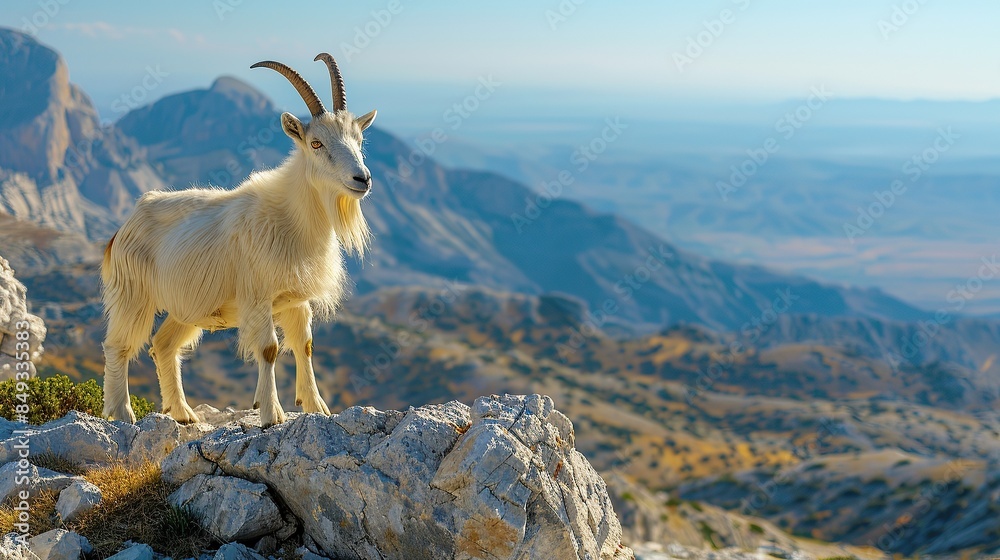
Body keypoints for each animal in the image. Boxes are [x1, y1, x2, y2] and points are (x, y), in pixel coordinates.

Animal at [101, 53, 377, 427]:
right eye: (316, 143)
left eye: (359, 140)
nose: (362, 179)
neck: (292, 219)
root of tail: (128, 222)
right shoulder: (257, 296)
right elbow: (269, 349)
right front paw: (272, 414)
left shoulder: (294, 298)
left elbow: (304, 344)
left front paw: (317, 408)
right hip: (133, 294)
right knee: (118, 345)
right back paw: (122, 414)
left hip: (187, 307)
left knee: (164, 344)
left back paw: (184, 414)